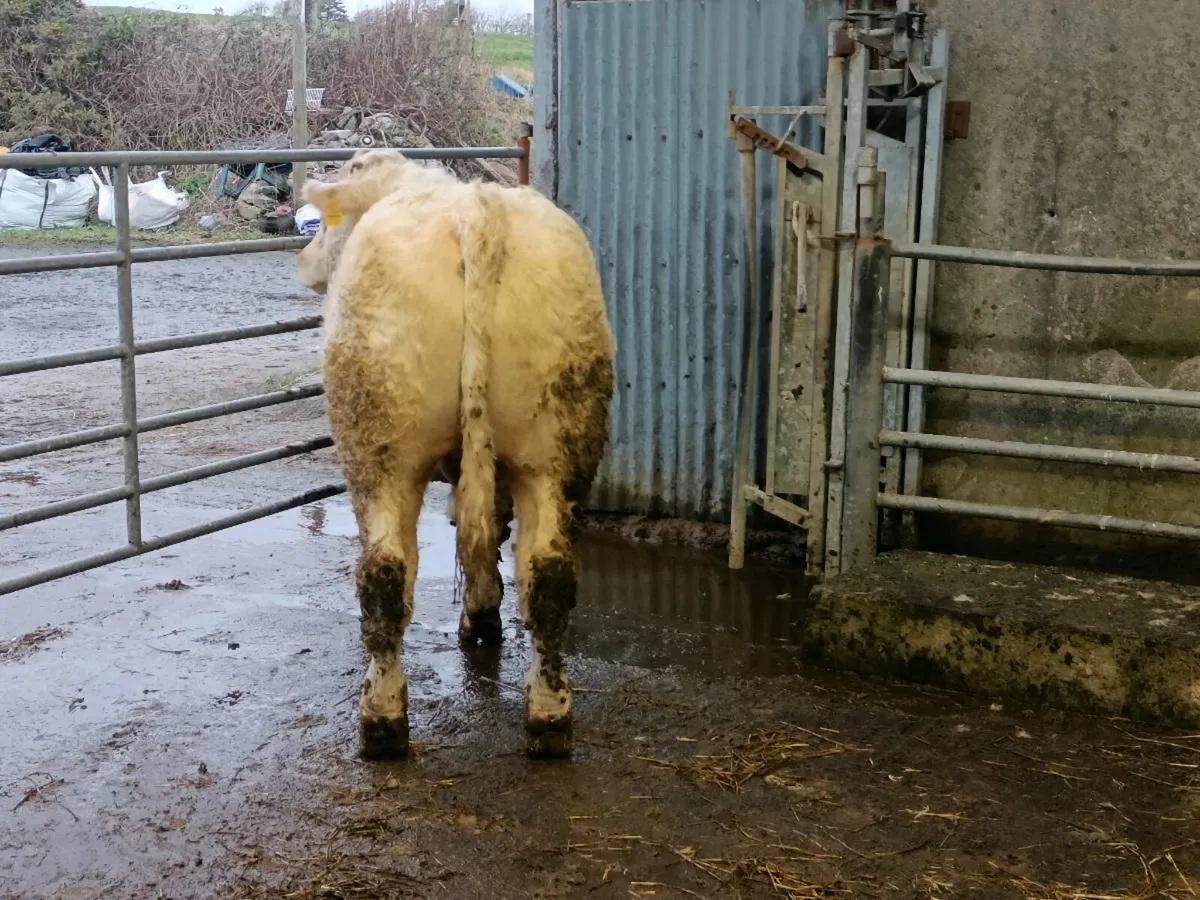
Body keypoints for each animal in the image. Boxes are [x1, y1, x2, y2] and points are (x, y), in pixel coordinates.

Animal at [295, 149, 615, 760]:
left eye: (323, 223)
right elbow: (489, 532)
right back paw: (549, 718)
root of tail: (475, 210)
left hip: (378, 444)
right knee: (548, 575)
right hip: (556, 441)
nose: (303, 263)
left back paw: (382, 723)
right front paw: (483, 618)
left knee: (386, 576)